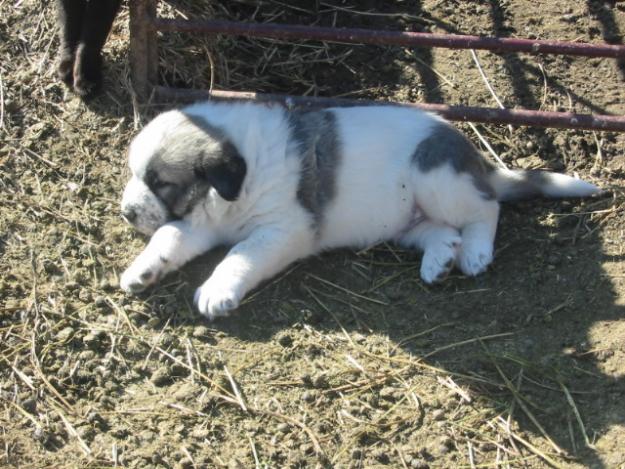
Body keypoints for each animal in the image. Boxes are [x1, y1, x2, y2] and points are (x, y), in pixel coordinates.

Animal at [120, 101, 596, 320]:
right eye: (137, 175)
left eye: (161, 182)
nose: (126, 212)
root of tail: (476, 160)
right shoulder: (197, 222)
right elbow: (168, 235)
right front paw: (143, 269)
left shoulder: (284, 228)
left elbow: (240, 255)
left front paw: (217, 290)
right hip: (406, 219)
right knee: (441, 231)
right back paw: (439, 260)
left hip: (439, 181)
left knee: (487, 208)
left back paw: (476, 252)